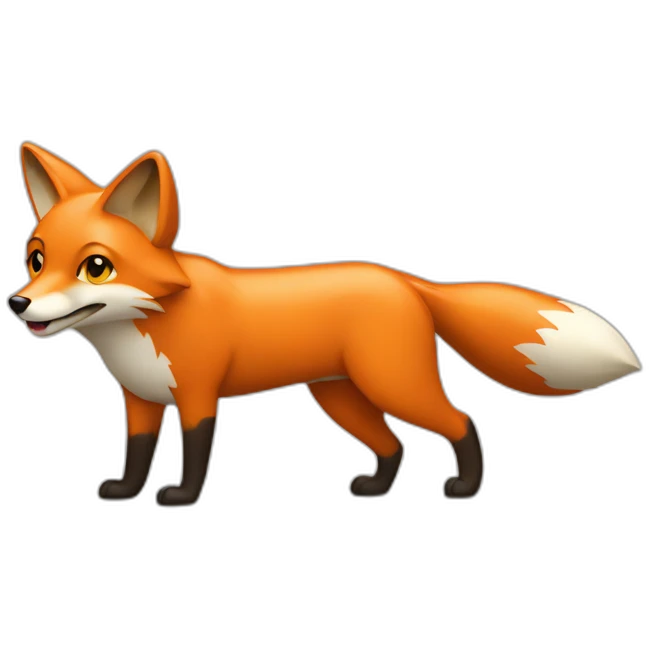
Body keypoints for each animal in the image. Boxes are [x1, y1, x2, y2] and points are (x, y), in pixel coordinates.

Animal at [8, 142, 642, 507]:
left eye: (95, 267)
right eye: (36, 259)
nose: (17, 304)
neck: (147, 323)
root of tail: (407, 280)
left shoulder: (197, 397)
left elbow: (194, 455)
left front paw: (182, 498)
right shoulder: (139, 400)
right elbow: (136, 456)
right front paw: (125, 492)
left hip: (393, 384)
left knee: (461, 421)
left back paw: (465, 489)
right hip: (340, 397)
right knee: (393, 447)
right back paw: (376, 490)